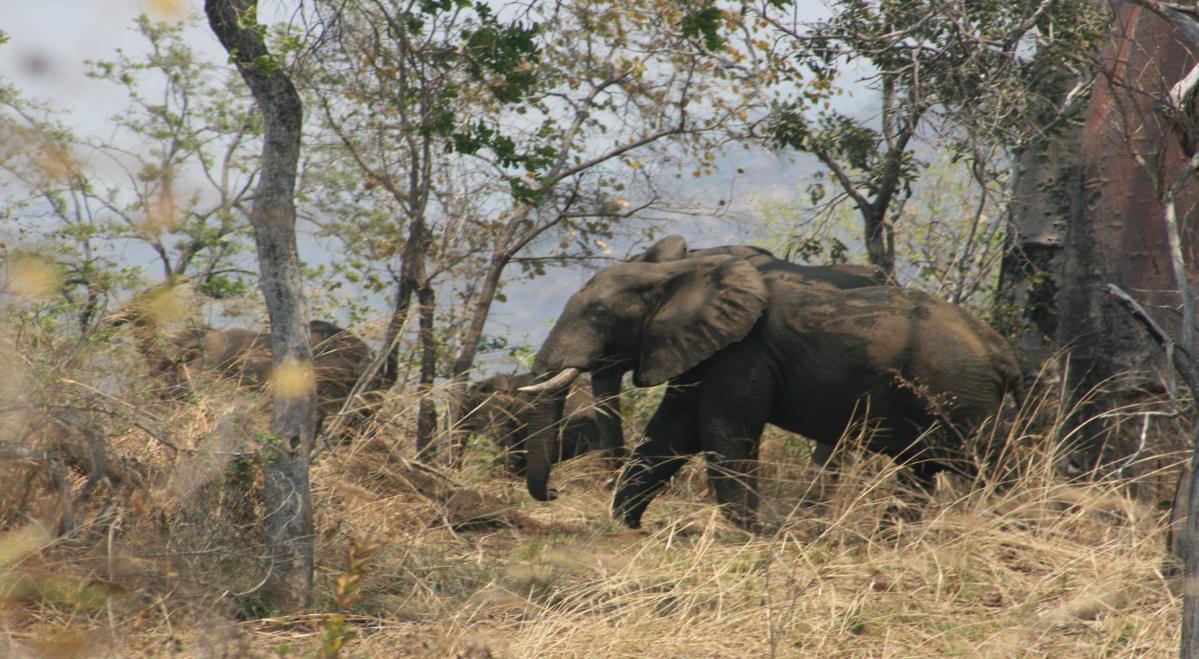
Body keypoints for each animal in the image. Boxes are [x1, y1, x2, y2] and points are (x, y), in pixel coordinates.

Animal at [521, 243, 1020, 529]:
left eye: (600, 314)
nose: (555, 494)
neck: (678, 273)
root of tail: (1001, 351)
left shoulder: (742, 353)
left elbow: (723, 434)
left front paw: (749, 535)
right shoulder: (705, 351)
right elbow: (669, 435)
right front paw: (624, 527)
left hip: (960, 392)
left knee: (990, 463)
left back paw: (1017, 526)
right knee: (921, 470)